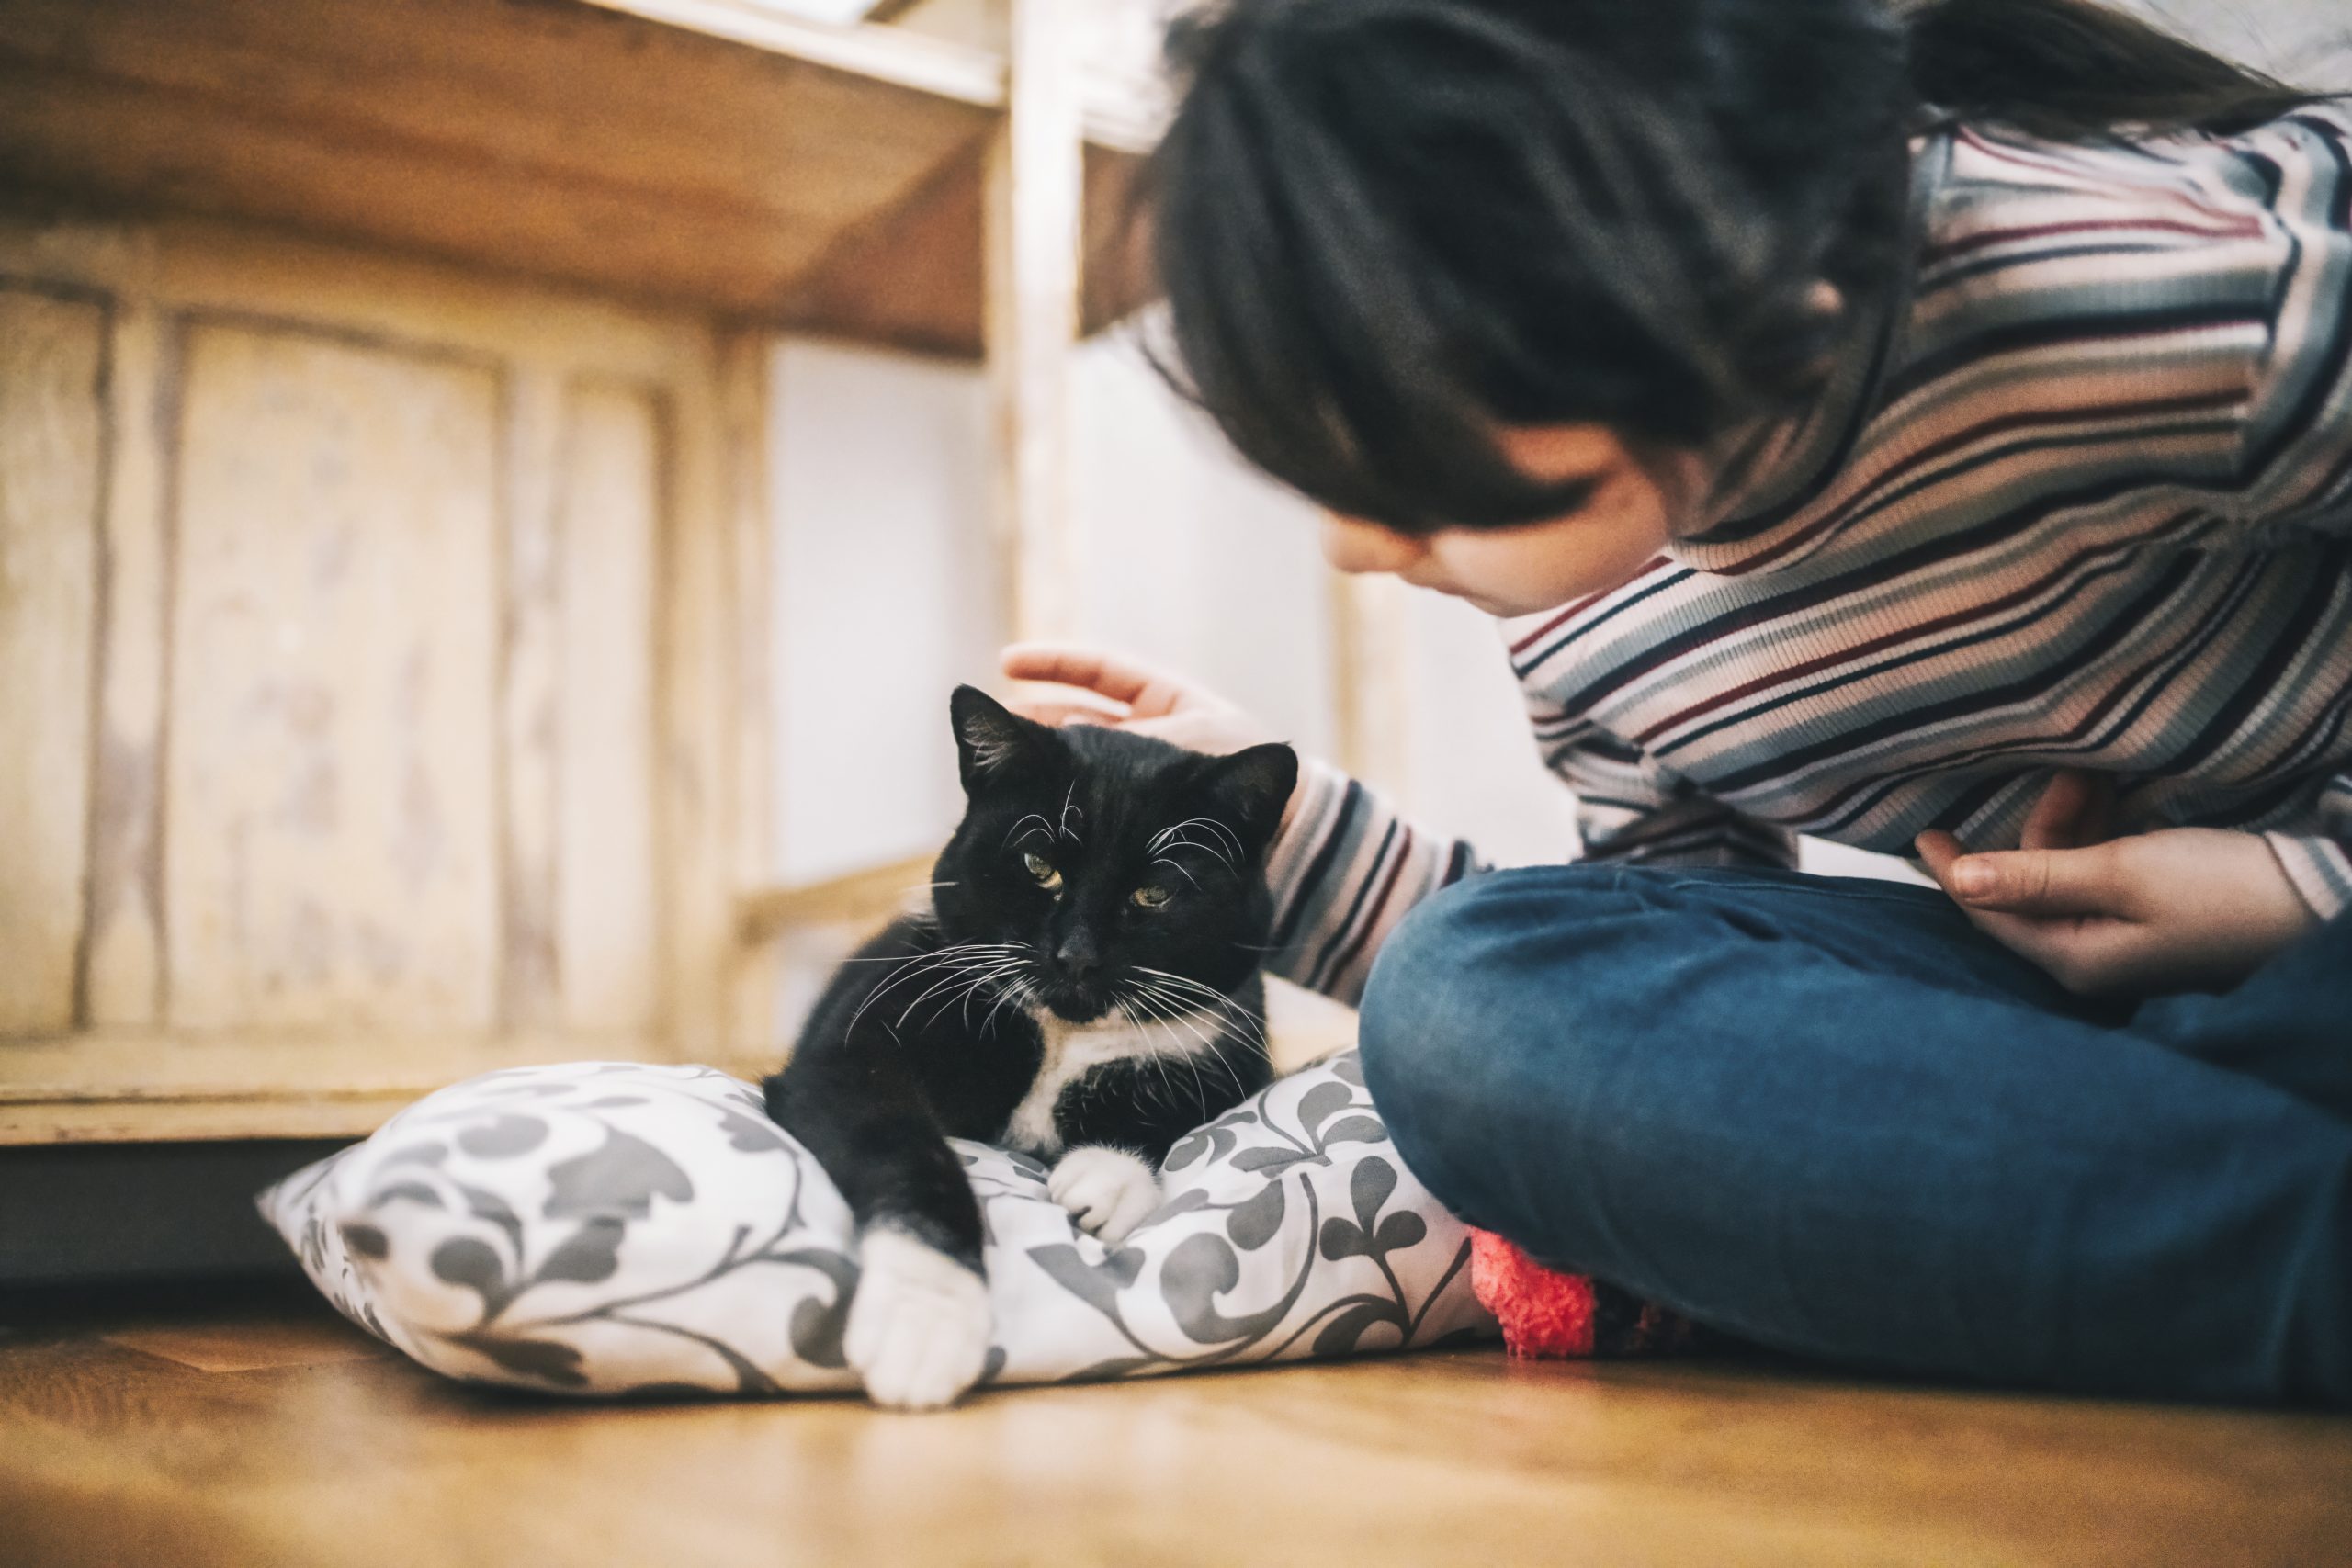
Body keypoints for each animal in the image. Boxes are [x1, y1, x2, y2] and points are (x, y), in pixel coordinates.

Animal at [762, 686, 1298, 1410]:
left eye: (1153, 892)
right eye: (1039, 866)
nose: (1076, 955)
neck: (1065, 1035)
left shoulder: (1233, 1044)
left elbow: (1179, 1110)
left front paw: (1106, 1178)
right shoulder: (849, 1057)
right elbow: (905, 1148)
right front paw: (925, 1320)